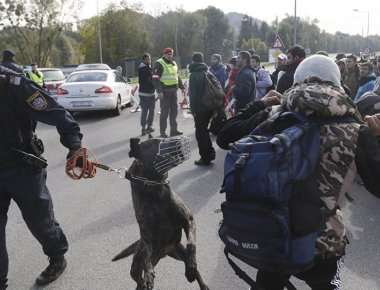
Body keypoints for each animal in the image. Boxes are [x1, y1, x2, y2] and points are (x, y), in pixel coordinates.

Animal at [113, 137, 211, 290]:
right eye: (156, 142)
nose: (179, 139)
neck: (154, 188)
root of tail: (164, 254)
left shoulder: (188, 220)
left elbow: (191, 244)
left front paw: (191, 267)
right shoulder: (148, 239)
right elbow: (147, 260)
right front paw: (148, 275)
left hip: (178, 252)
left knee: (193, 266)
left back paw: (198, 278)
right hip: (137, 265)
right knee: (139, 277)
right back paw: (145, 280)